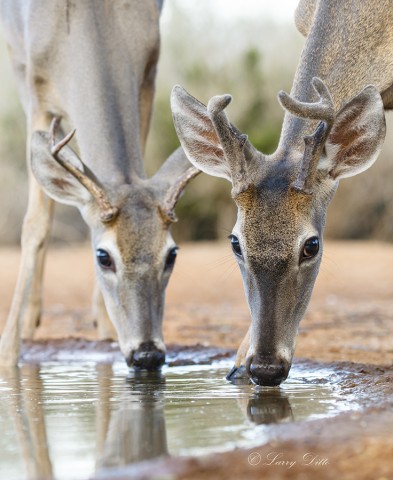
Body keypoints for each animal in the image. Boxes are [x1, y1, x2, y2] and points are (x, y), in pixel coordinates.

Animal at [0, 0, 198, 368]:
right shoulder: (36, 91)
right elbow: (34, 225)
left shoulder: (148, 76)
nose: (147, 353)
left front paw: (106, 328)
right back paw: (30, 321)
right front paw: (8, 349)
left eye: (172, 255)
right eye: (103, 257)